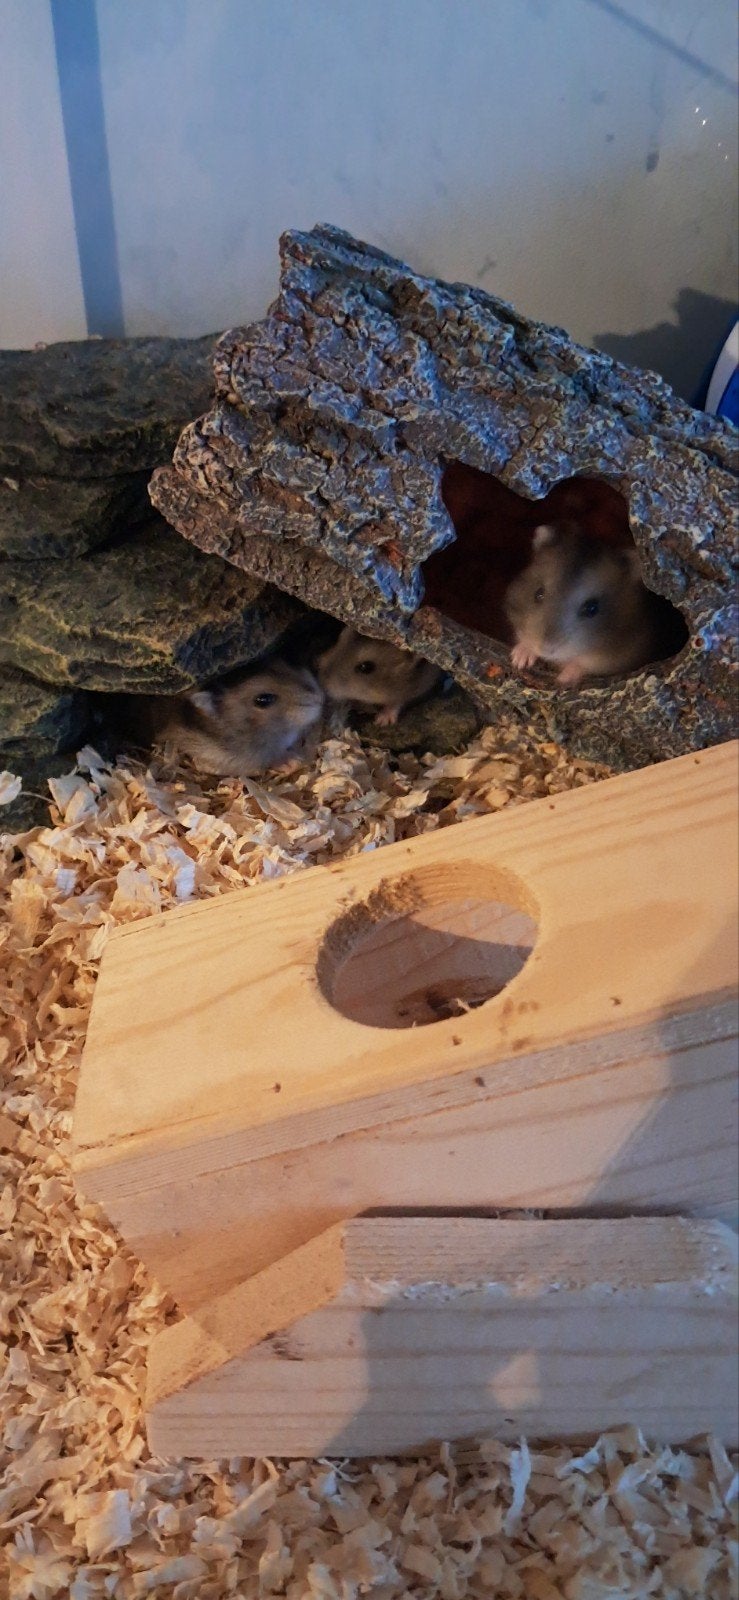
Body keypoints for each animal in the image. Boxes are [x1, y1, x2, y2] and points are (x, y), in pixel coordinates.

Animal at [505, 523, 663, 686]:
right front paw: (519, 659)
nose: (546, 649)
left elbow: (583, 664)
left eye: (592, 608)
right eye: (538, 594)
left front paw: (563, 679)